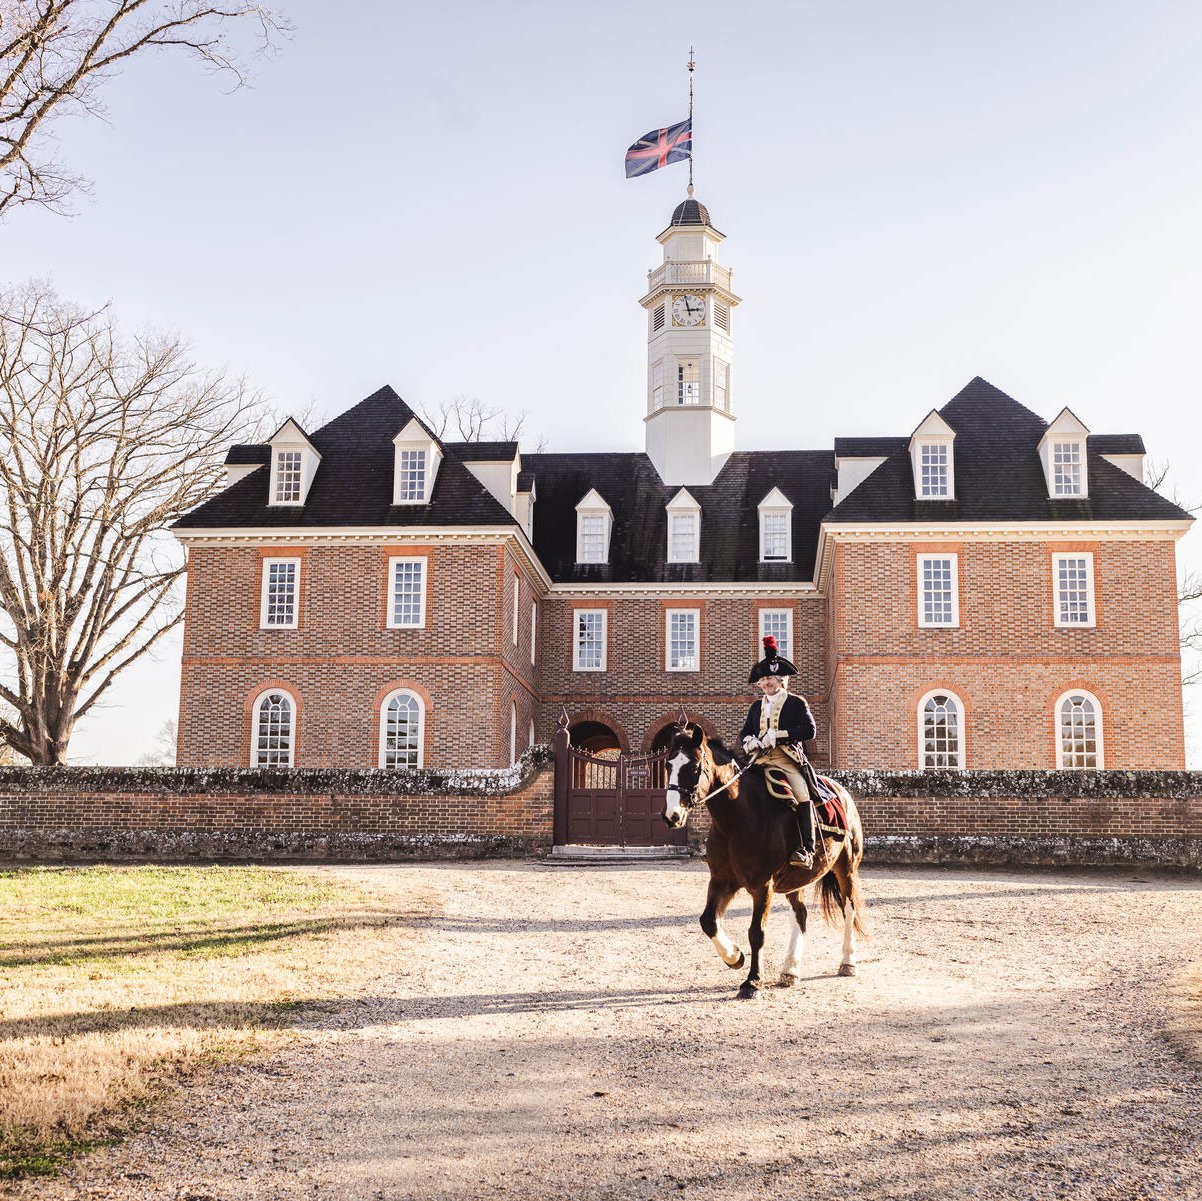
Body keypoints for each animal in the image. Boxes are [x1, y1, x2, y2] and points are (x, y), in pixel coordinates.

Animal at [663, 726, 870, 1000]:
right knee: (801, 914)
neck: (737, 819)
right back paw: (790, 970)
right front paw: (735, 957)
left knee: (848, 908)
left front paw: (752, 981)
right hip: (796, 881)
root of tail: (842, 791)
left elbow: (756, 933)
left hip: (846, 869)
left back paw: (847, 962)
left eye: (695, 767)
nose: (672, 816)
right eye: (668, 765)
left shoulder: (763, 886)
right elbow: (708, 921)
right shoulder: (721, 881)